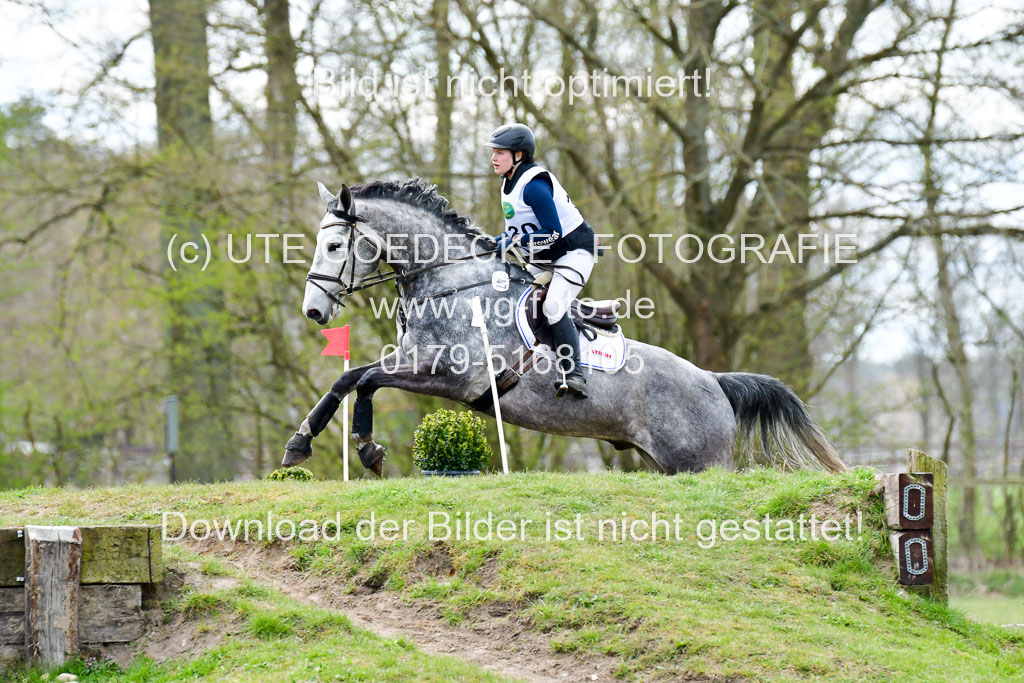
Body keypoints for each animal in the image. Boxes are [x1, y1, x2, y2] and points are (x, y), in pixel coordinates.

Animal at [282, 178, 845, 477]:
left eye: (334, 245)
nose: (313, 312)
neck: (450, 282)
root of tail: (715, 382)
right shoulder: (417, 363)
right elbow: (349, 377)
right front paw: (307, 445)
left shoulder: (447, 375)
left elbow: (363, 379)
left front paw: (363, 449)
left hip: (700, 463)